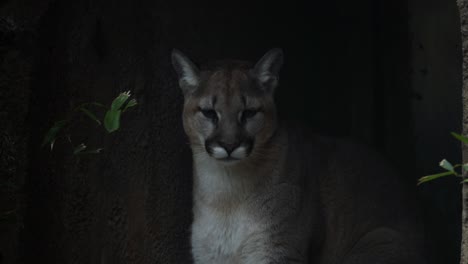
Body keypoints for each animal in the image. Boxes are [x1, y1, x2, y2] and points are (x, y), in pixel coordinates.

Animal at [171, 48, 424, 262]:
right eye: (209, 113)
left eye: (249, 112)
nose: (229, 145)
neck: (226, 192)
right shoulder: (209, 254)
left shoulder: (278, 249)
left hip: (381, 240)